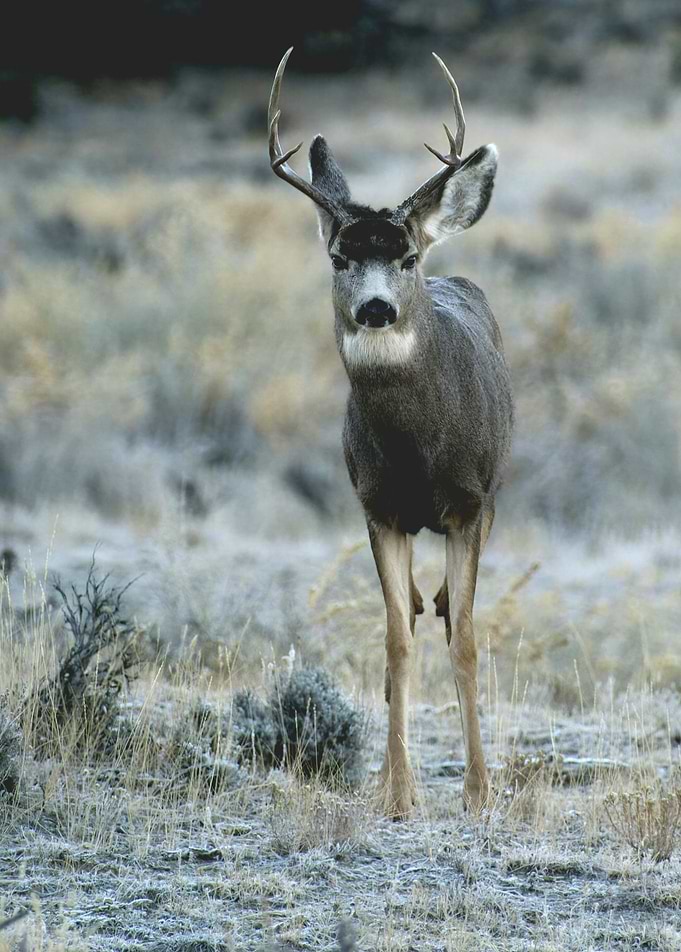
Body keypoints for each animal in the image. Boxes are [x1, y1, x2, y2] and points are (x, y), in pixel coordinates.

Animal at [267, 49, 513, 819]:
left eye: (406, 258)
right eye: (339, 258)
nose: (376, 308)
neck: (417, 454)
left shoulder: (469, 504)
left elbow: (463, 639)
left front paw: (477, 792)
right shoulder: (376, 506)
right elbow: (396, 642)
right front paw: (398, 792)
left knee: (449, 613)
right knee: (410, 611)